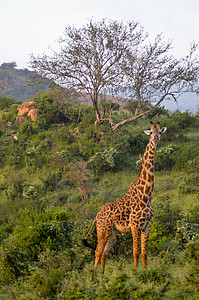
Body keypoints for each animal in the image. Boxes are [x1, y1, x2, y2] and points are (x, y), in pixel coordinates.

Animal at [82, 120, 166, 274]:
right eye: (151, 132)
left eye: (160, 131)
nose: (156, 138)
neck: (146, 195)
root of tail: (97, 215)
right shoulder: (135, 225)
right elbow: (136, 252)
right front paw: (136, 273)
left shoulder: (147, 226)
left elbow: (144, 252)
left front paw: (146, 272)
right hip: (102, 231)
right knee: (97, 251)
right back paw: (94, 276)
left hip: (112, 233)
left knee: (104, 253)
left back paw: (102, 275)